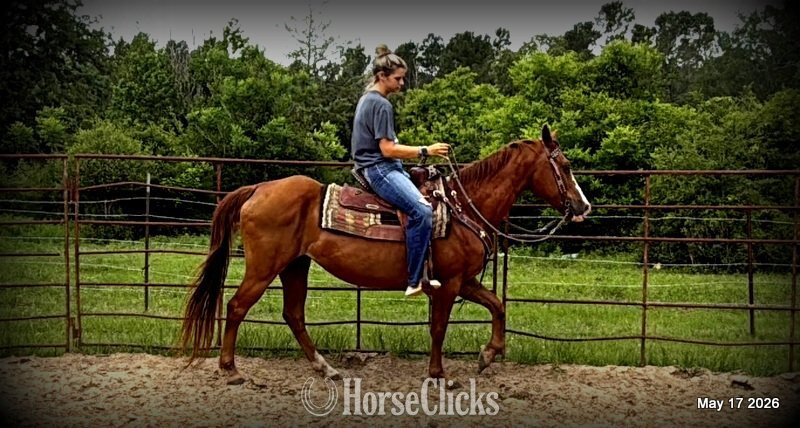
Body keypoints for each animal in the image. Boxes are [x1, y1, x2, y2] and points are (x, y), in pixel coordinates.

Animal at [180, 125, 591, 385]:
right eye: (566, 166)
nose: (583, 207)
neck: (462, 208)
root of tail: (259, 188)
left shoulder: (465, 281)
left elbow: (497, 305)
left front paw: (488, 355)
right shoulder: (448, 284)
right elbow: (439, 328)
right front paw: (440, 375)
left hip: (295, 265)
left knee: (293, 315)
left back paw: (326, 369)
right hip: (265, 267)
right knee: (237, 306)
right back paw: (231, 370)